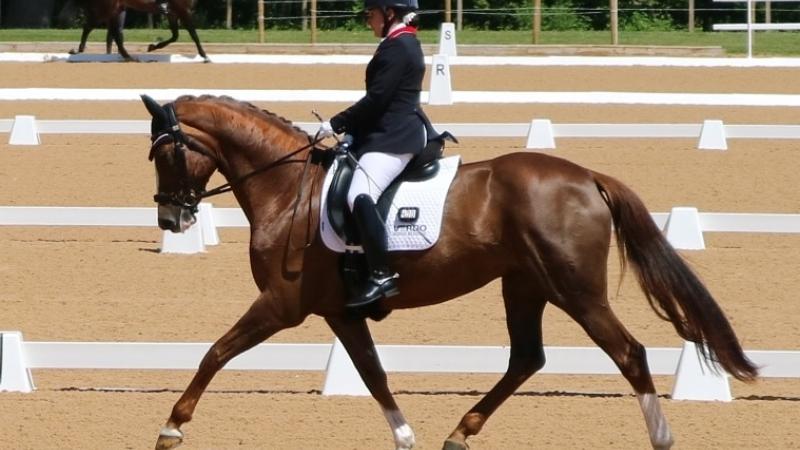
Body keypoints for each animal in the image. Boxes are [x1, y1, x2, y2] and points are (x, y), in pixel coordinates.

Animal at [67, 0, 208, 62]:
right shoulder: (183, 11)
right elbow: (193, 34)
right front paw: (204, 55)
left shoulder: (173, 13)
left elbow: (175, 36)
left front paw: (153, 47)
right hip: (106, 11)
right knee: (89, 27)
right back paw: (79, 50)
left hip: (115, 11)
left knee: (115, 34)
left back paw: (128, 56)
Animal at [141, 93, 760, 448]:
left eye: (165, 152)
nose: (172, 218)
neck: (287, 187)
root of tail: (586, 176)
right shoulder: (341, 311)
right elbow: (372, 374)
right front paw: (405, 438)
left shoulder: (281, 303)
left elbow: (216, 352)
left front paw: (172, 426)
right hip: (525, 286)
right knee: (526, 358)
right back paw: (460, 433)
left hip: (576, 291)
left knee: (628, 353)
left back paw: (662, 438)